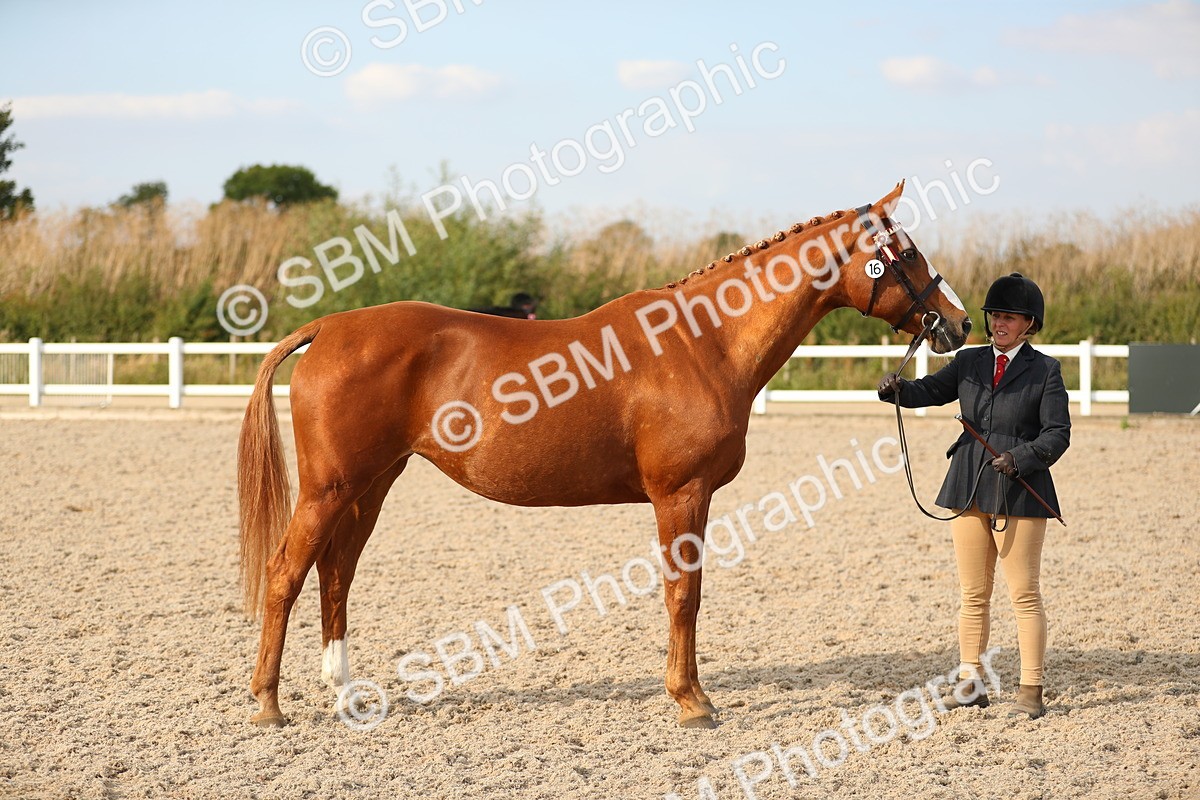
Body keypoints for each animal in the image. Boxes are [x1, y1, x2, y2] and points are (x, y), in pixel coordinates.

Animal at [239, 181, 972, 729]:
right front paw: (692, 701)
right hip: (331, 489)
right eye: (905, 253)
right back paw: (268, 704)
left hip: (371, 484)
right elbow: (684, 595)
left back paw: (345, 694)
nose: (959, 323)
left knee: (336, 574)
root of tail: (328, 328)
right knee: (285, 574)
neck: (704, 342)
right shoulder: (681, 495)